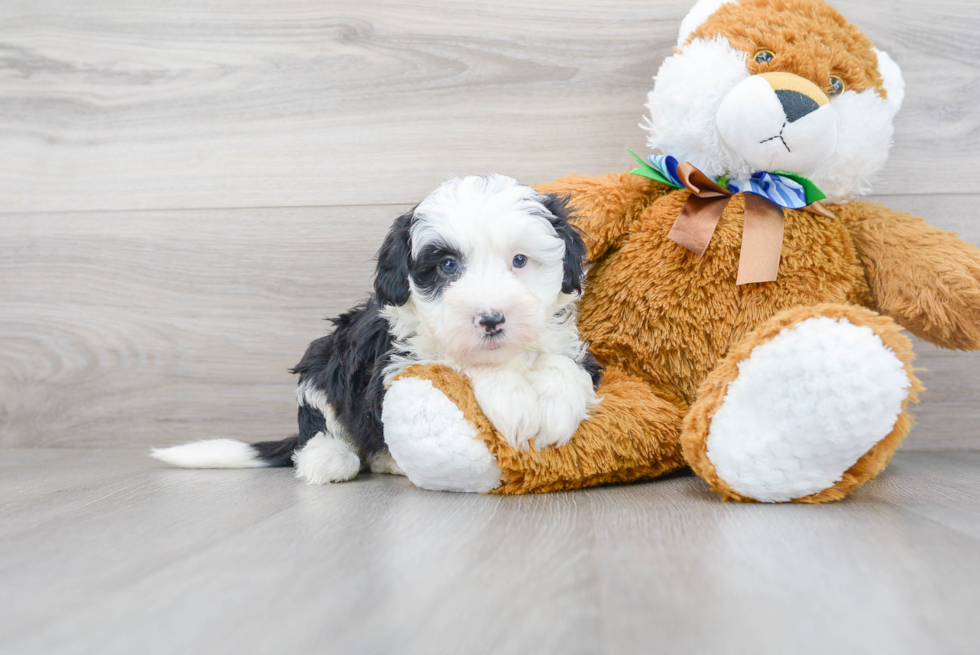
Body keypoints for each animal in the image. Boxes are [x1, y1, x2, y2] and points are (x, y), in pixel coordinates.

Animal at [151, 177, 596, 484]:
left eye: (520, 260)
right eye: (447, 266)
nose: (491, 319)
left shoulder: (573, 347)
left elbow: (564, 365)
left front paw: (558, 408)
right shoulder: (393, 365)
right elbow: (455, 360)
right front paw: (514, 401)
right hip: (324, 361)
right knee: (321, 422)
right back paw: (330, 459)